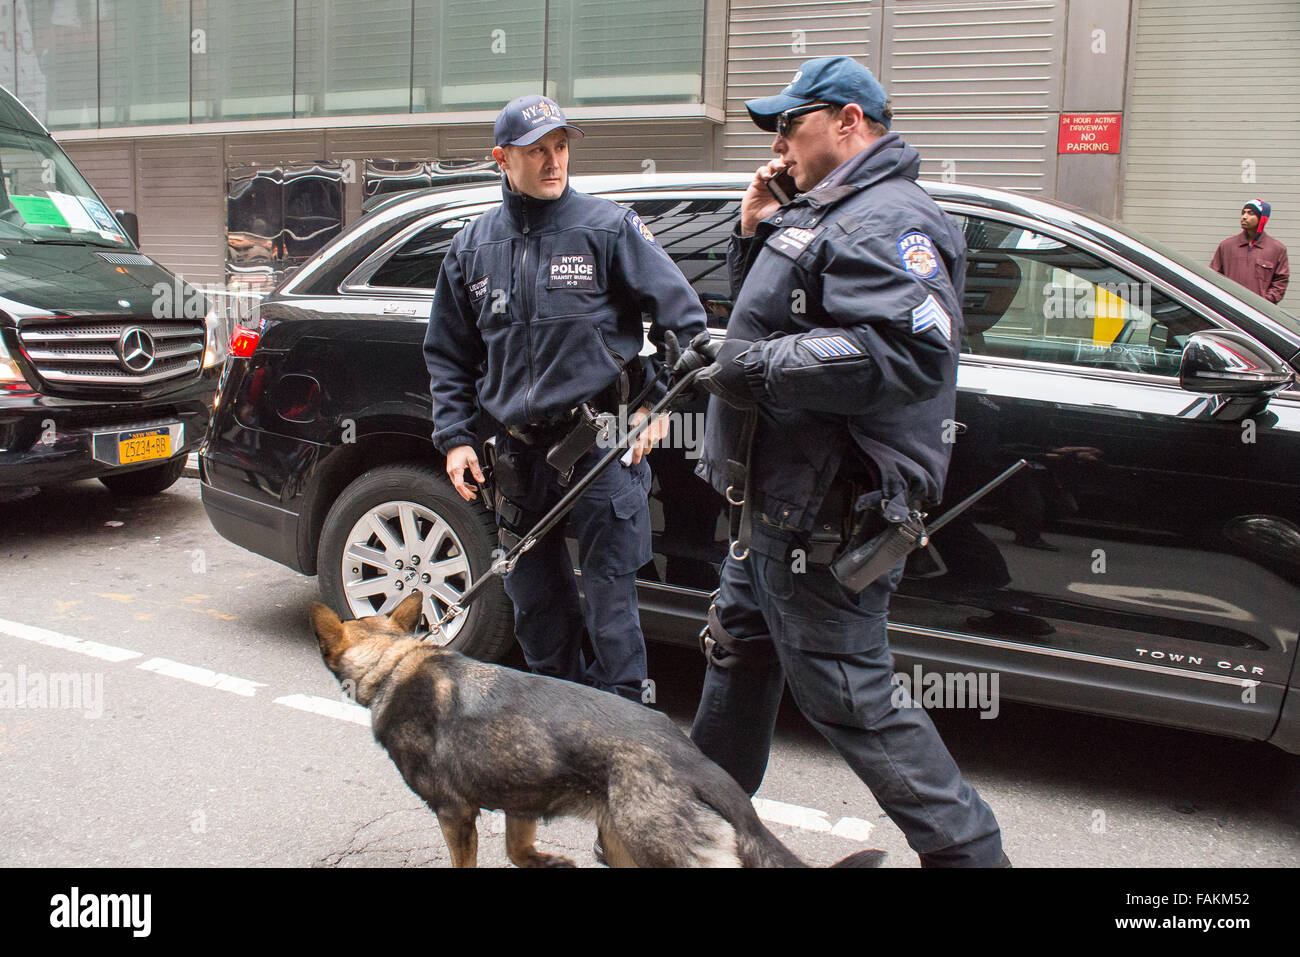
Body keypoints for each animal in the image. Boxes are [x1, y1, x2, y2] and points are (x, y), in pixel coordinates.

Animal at [312, 590, 883, 868]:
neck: (395, 661)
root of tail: (695, 763)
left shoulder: (455, 814)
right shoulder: (522, 801)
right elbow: (518, 850)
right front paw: (545, 862)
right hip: (624, 844)